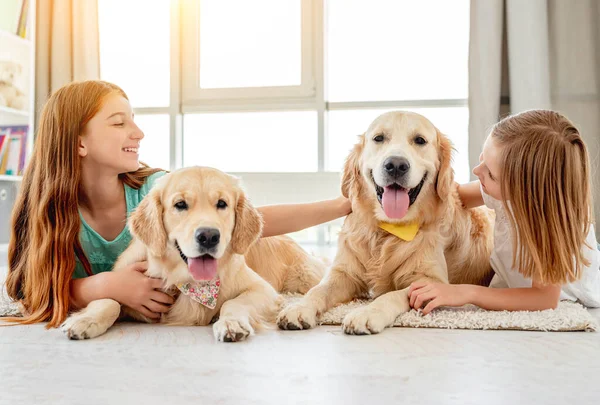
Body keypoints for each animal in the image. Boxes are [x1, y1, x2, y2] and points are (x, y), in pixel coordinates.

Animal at [61, 166, 326, 340]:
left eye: (222, 203)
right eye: (180, 205)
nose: (208, 236)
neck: (185, 279)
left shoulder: (264, 290)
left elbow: (233, 302)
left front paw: (230, 323)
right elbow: (108, 299)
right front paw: (84, 320)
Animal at [276, 109, 492, 332]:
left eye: (420, 140)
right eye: (378, 138)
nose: (395, 165)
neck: (388, 229)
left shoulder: (429, 280)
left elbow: (391, 295)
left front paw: (367, 313)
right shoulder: (344, 272)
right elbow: (318, 290)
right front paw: (299, 308)